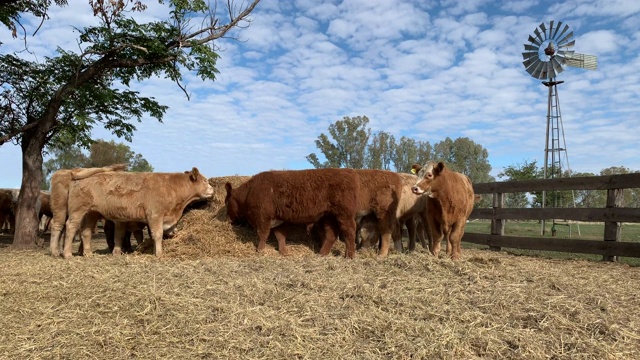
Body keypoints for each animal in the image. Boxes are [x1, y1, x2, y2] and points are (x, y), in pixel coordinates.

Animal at [63, 167, 212, 258]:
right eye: (205, 180)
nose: (213, 189)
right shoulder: (155, 215)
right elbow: (157, 234)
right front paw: (159, 253)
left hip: (91, 213)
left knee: (86, 231)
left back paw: (88, 253)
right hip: (77, 210)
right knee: (71, 227)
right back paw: (67, 254)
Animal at [225, 169, 360, 258]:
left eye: (226, 202)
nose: (228, 219)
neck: (249, 192)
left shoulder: (263, 217)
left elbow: (262, 234)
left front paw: (260, 250)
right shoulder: (278, 219)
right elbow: (280, 236)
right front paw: (283, 252)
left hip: (344, 214)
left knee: (349, 231)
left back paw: (349, 256)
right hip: (328, 216)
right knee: (331, 235)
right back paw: (322, 254)